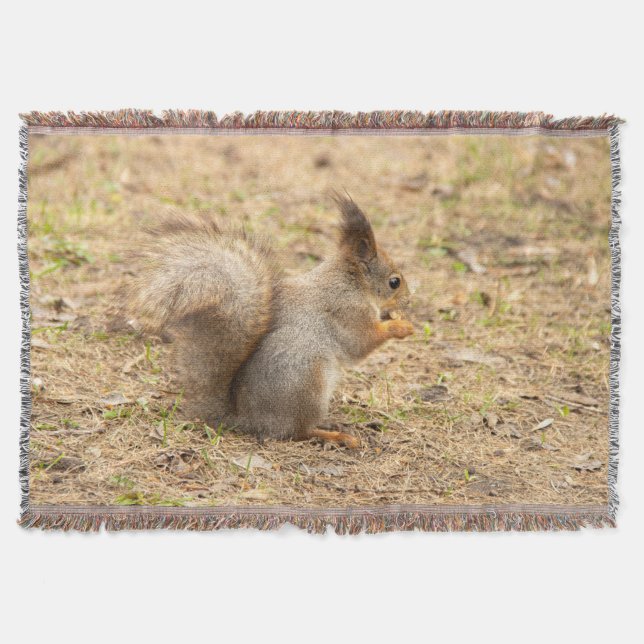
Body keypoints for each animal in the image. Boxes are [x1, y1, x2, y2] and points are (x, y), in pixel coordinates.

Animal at [127, 193, 413, 449]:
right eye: (394, 282)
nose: (409, 301)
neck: (350, 282)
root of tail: (248, 419)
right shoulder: (348, 311)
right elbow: (360, 344)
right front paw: (400, 326)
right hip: (306, 381)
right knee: (298, 431)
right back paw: (336, 436)